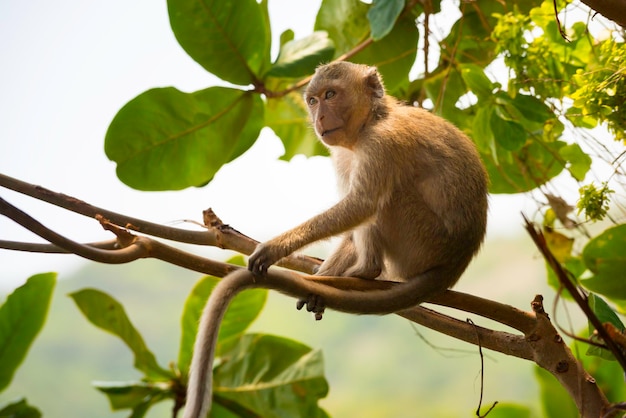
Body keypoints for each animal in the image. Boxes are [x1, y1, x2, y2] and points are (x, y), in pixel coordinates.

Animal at [183, 60, 490, 416]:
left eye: (331, 95)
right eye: (313, 100)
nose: (319, 117)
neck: (374, 119)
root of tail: (455, 263)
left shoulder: (381, 144)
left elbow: (360, 205)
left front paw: (275, 247)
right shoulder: (344, 155)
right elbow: (350, 224)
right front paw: (321, 281)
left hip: (420, 241)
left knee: (382, 200)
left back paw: (367, 271)